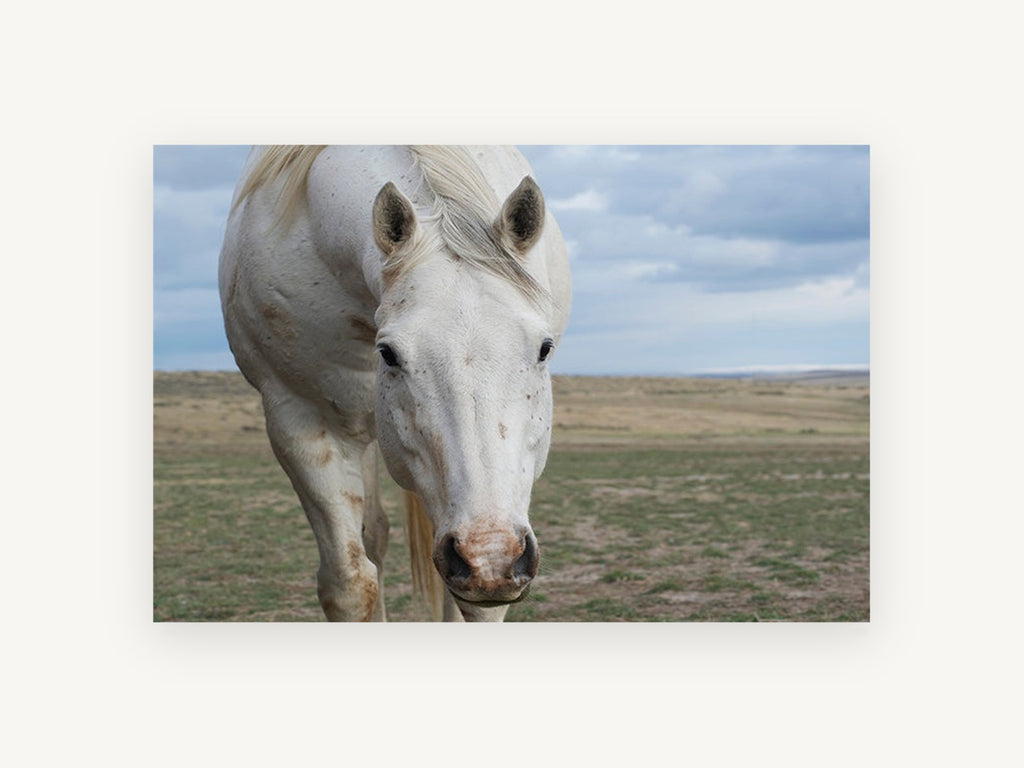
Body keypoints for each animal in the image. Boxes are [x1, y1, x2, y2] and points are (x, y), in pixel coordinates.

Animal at [218, 146, 572, 621]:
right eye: (388, 353)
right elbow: (351, 585)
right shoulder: (300, 420)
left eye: (544, 348)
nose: (488, 554)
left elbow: (476, 606)